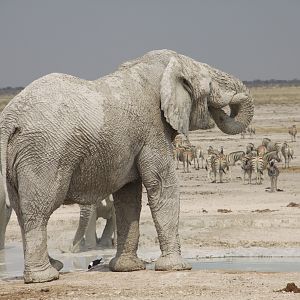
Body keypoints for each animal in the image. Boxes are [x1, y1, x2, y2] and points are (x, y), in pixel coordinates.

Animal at [0, 49, 254, 284]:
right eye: (211, 84)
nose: (227, 105)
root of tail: (10, 118)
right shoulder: (153, 130)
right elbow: (162, 186)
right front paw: (177, 267)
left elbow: (128, 197)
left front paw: (127, 268)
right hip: (43, 153)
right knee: (39, 209)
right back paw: (45, 277)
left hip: (20, 156)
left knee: (22, 210)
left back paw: (54, 267)